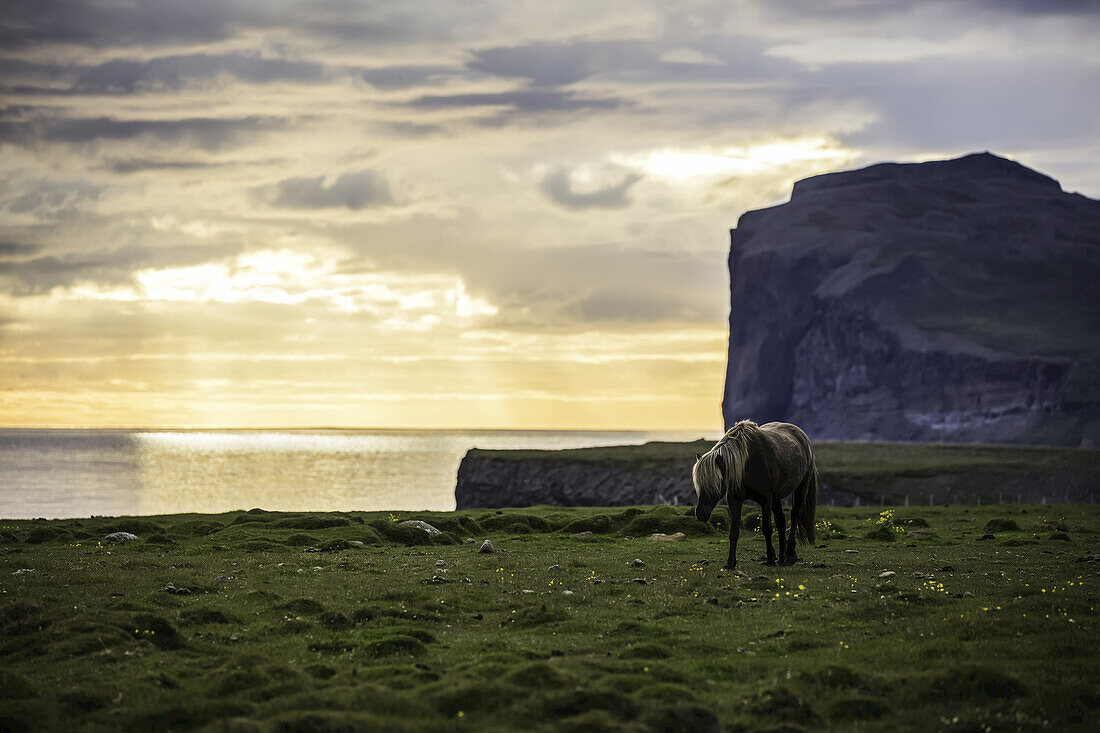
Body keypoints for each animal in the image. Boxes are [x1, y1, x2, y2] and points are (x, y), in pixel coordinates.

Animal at [695, 420, 818, 567]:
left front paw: (770, 558)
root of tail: (802, 436)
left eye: (714, 484)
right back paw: (781, 558)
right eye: (699, 484)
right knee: (781, 522)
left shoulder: (766, 500)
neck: (748, 462)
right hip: (776, 498)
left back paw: (789, 554)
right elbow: (734, 530)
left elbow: (767, 528)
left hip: (801, 488)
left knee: (795, 516)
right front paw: (730, 562)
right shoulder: (735, 500)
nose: (700, 514)